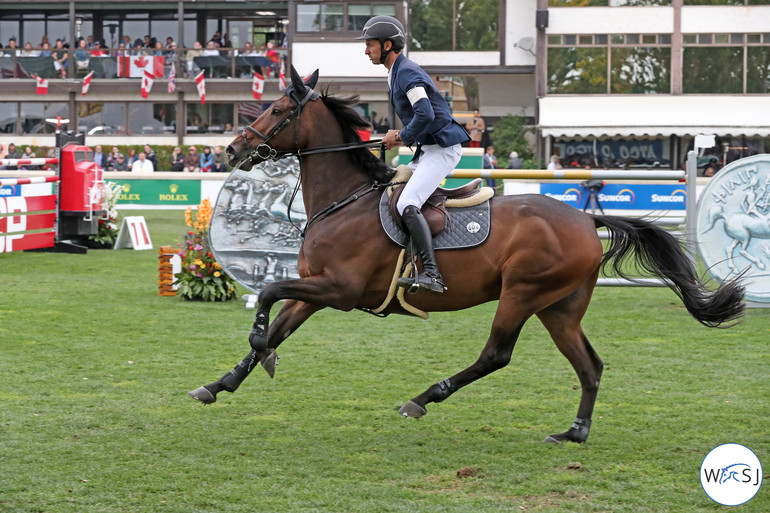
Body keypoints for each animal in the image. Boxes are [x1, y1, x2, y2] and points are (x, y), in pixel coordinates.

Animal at [188, 67, 744, 444]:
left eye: (279, 111)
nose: (233, 150)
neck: (344, 201)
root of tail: (586, 220)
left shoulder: (337, 289)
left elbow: (267, 296)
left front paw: (259, 348)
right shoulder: (315, 289)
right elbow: (278, 319)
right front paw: (221, 383)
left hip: (522, 294)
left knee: (496, 355)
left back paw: (422, 399)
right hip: (559, 307)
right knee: (590, 367)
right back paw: (574, 432)